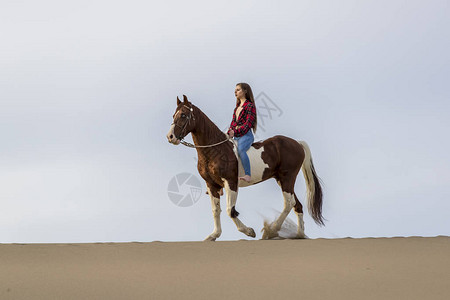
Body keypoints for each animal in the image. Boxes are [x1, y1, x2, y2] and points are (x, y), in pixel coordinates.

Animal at [165, 95, 324, 240]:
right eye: (174, 115)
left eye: (183, 115)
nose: (170, 137)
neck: (215, 150)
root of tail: (297, 143)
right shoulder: (211, 185)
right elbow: (216, 210)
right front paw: (214, 235)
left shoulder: (230, 182)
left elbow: (230, 210)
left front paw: (249, 231)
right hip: (281, 179)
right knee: (297, 205)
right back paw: (299, 235)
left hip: (287, 178)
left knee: (289, 203)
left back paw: (271, 231)